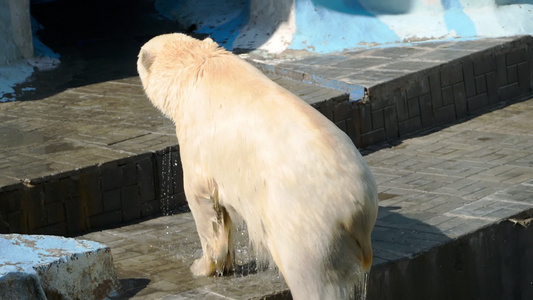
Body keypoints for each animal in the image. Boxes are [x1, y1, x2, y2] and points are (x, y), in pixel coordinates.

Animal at [137, 33, 378, 300]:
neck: (197, 66)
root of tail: (359, 214)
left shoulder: (197, 139)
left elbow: (203, 200)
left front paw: (201, 266)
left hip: (308, 227)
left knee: (313, 280)